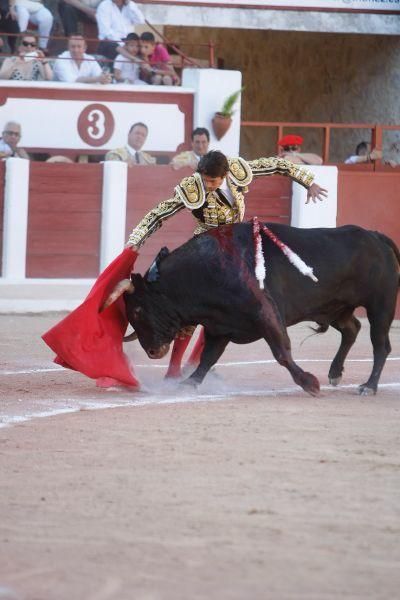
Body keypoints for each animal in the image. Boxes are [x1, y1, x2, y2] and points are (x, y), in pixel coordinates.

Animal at [112, 223, 400, 396]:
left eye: (137, 311)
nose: (151, 351)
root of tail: (376, 237)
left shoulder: (266, 314)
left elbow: (281, 352)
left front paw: (309, 383)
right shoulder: (220, 326)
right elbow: (208, 357)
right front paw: (188, 383)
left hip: (381, 305)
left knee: (380, 344)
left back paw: (368, 386)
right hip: (337, 307)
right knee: (352, 329)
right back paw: (335, 373)